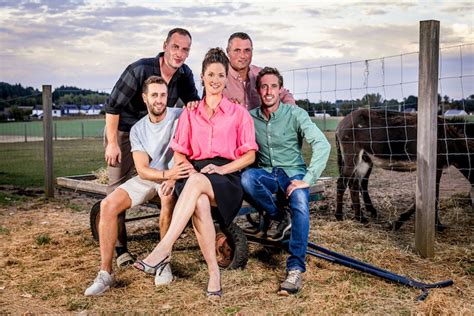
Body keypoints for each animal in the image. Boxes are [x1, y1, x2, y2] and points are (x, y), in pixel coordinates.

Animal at [336, 108, 472, 230]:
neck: (451, 139)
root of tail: (342, 123)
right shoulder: (436, 167)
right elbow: (434, 196)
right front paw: (436, 225)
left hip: (364, 159)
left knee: (355, 184)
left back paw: (361, 217)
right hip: (352, 156)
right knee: (342, 183)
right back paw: (340, 216)